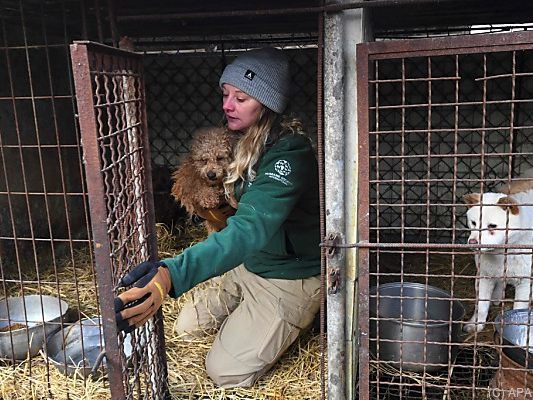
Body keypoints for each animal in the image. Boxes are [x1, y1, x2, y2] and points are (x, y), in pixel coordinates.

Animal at [462, 173, 532, 332]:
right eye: (473, 223)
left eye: (492, 226)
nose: (473, 242)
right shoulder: (484, 274)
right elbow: (481, 306)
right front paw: (475, 325)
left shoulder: (524, 281)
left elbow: (518, 309)